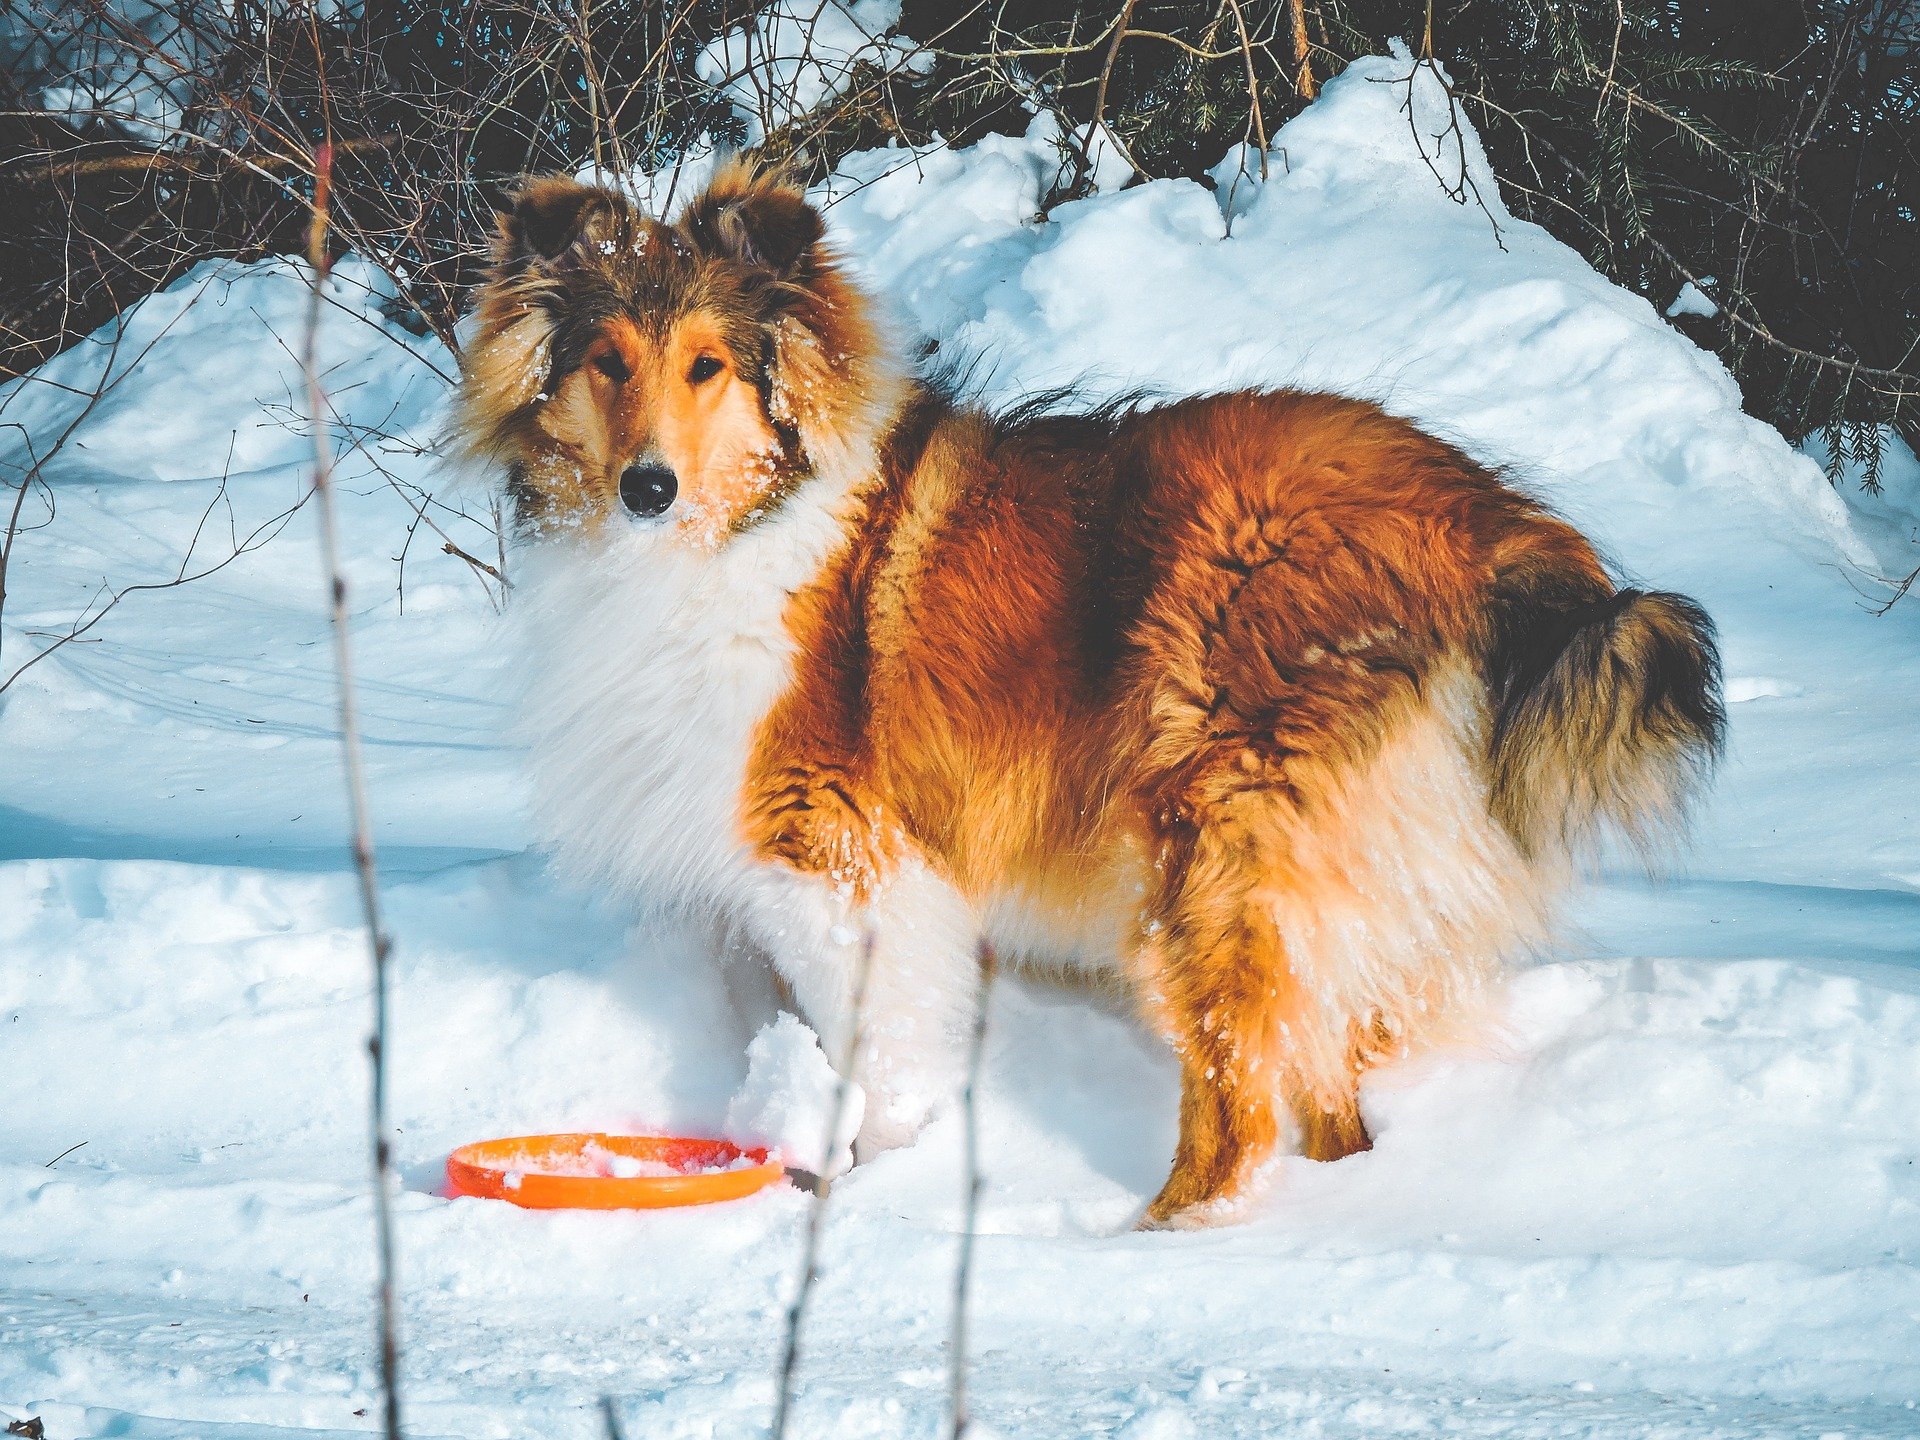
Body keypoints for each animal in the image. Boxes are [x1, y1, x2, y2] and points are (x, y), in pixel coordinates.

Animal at [460, 166, 1728, 1228]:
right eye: (606, 361)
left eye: (707, 366)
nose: (647, 488)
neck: (747, 522)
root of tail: (1490, 527)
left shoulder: (837, 857)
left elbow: (887, 1054)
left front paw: (869, 1194)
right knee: (1328, 1110)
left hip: (1210, 853)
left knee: (1238, 1122)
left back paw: (1145, 1244)